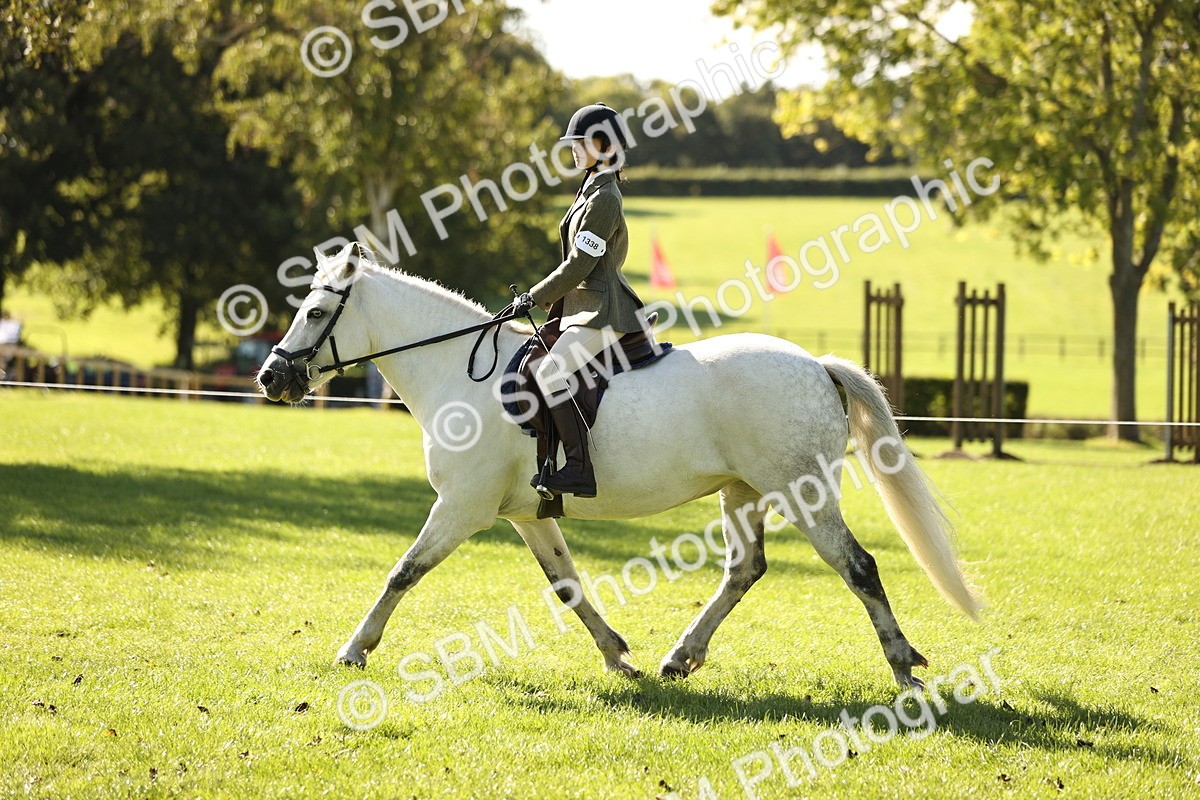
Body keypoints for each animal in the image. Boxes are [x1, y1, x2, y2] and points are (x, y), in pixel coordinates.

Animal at [256, 244, 980, 689]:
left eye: (315, 311)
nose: (271, 378)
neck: (459, 374)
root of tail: (816, 365)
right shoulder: (525, 513)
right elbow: (568, 585)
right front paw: (617, 657)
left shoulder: (461, 507)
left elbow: (402, 572)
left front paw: (355, 648)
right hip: (742, 492)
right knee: (744, 569)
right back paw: (680, 658)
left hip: (801, 492)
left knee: (858, 566)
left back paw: (903, 666)